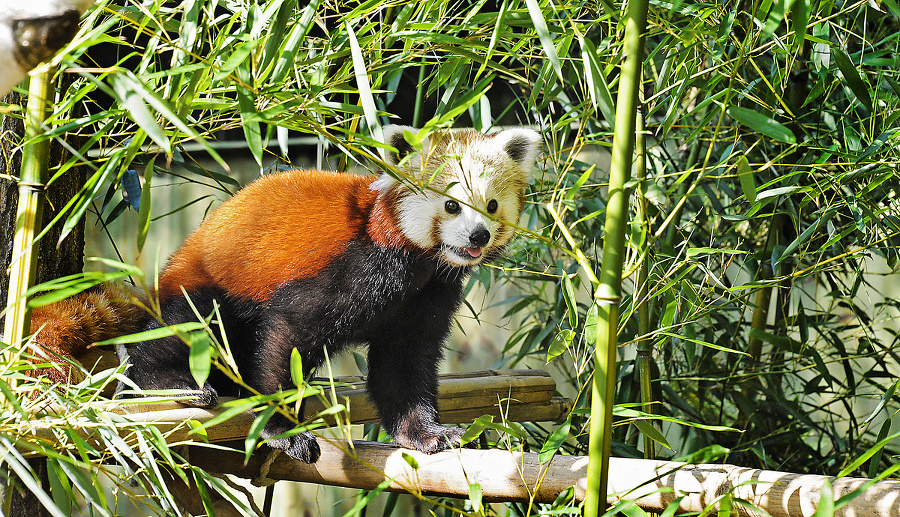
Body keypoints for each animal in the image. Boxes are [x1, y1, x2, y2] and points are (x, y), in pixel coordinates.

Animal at [59, 126, 536, 464]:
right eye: (452, 204)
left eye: (491, 206)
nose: (477, 235)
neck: (418, 263)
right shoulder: (352, 267)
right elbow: (287, 334)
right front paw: (284, 430)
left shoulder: (431, 293)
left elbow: (403, 363)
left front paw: (424, 433)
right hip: (202, 281)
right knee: (185, 325)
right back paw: (168, 382)